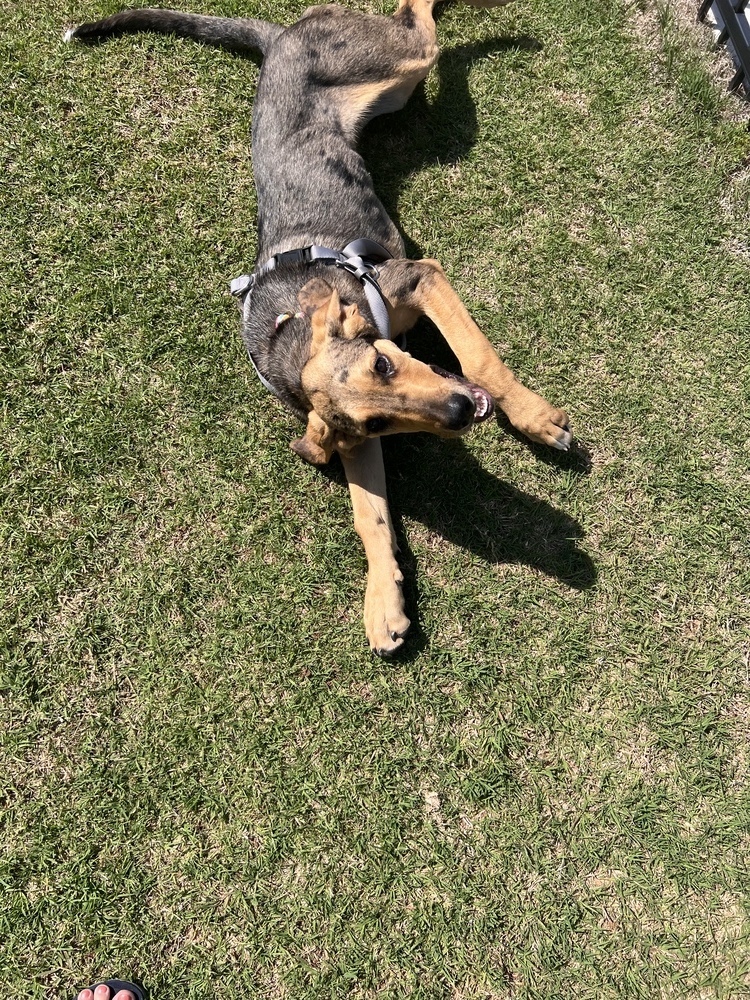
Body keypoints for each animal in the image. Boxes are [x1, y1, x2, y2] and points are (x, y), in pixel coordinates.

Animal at [64, 0, 572, 656]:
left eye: (384, 362)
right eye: (378, 421)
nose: (461, 412)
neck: (288, 336)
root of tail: (281, 35)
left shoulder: (420, 277)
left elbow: (479, 357)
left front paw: (535, 419)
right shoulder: (353, 440)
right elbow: (369, 516)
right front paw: (384, 603)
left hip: (400, 64)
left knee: (418, 17)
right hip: (394, 88)